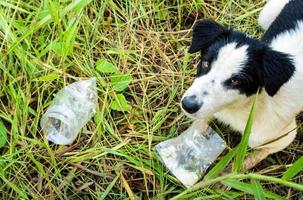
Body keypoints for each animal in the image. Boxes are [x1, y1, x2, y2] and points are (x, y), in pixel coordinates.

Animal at [182, 0, 302, 170]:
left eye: (236, 80)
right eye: (205, 63)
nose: (187, 105)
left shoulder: (283, 137)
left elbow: (242, 164)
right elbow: (198, 126)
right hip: (265, 15)